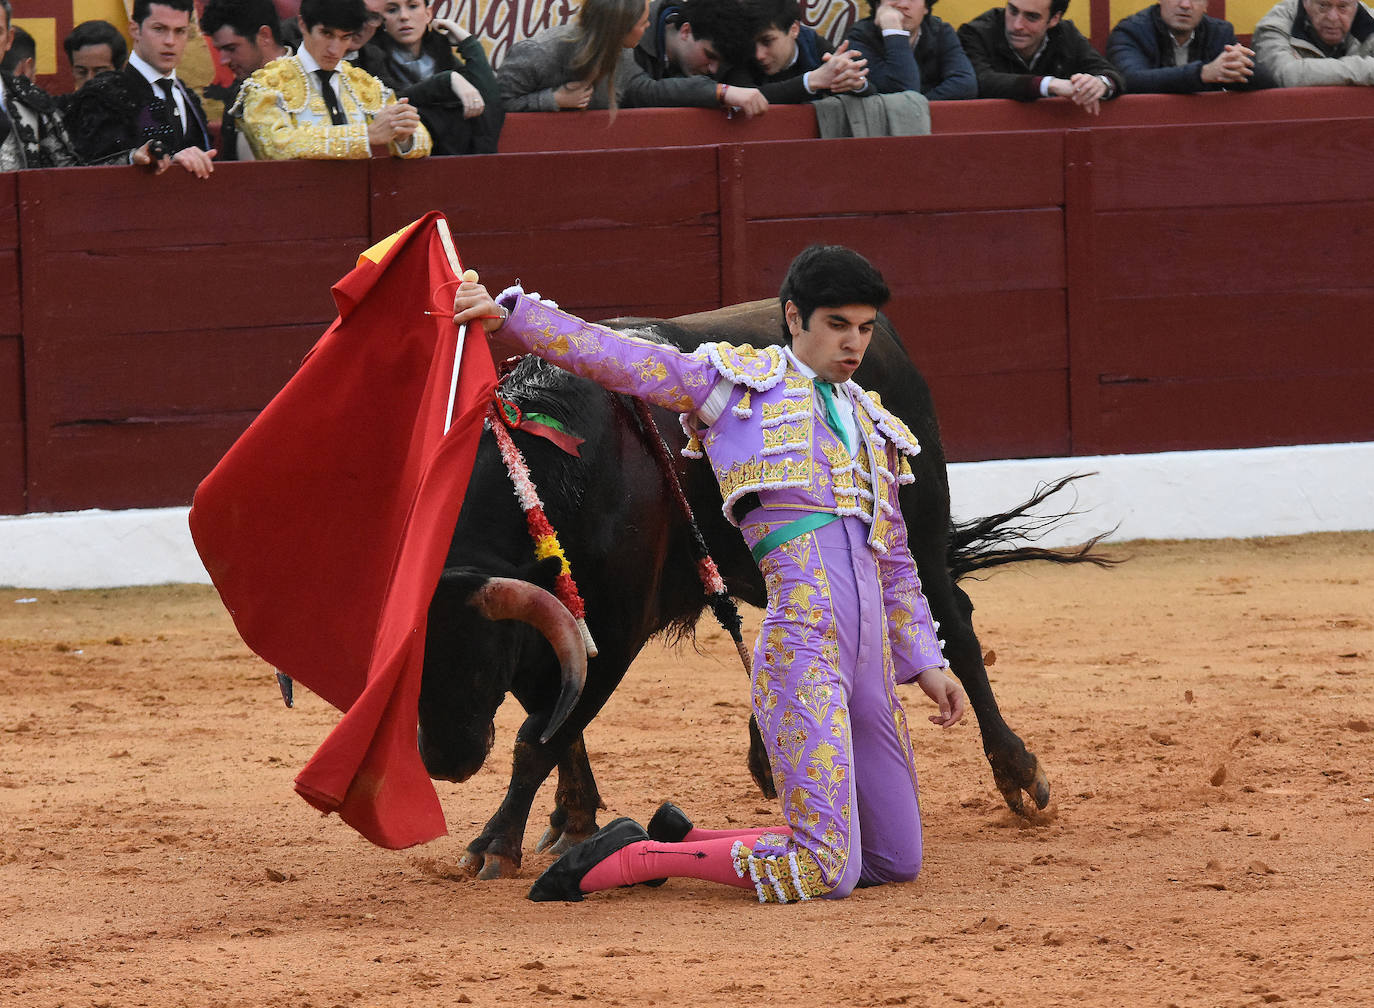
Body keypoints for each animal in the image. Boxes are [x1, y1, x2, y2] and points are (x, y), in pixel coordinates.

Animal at [417, 298, 1093, 878]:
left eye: (478, 660)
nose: (444, 762)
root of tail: (886, 338)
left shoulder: (615, 630)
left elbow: (541, 737)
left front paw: (493, 846)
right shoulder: (571, 629)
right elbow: (560, 724)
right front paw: (572, 820)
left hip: (919, 530)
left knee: (954, 629)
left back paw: (1019, 773)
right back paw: (768, 756)